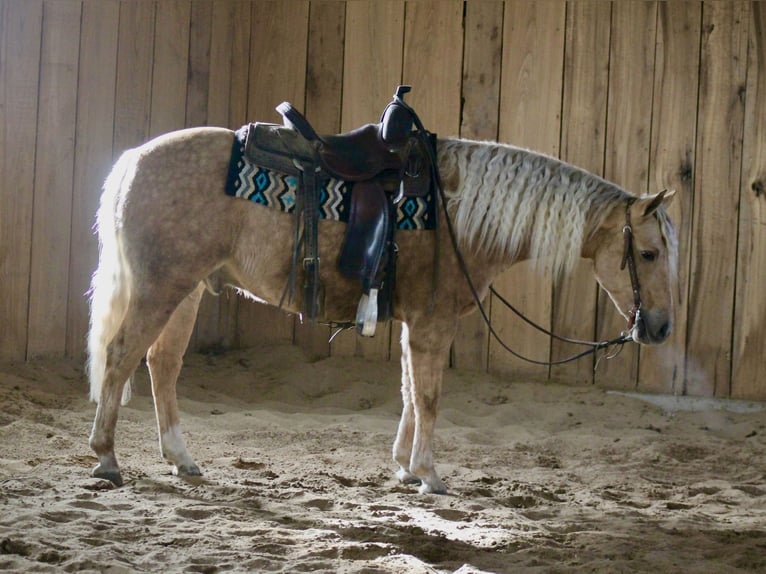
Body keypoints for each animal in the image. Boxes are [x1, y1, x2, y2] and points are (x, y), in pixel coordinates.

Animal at [88, 129, 680, 496]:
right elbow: (430, 395)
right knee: (120, 356)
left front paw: (403, 468)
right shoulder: (434, 323)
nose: (660, 327)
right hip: (161, 288)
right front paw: (429, 474)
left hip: (186, 291)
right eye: (650, 253)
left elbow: (409, 392)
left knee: (161, 364)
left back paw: (180, 457)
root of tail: (135, 158)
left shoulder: (415, 322)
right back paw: (106, 458)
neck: (457, 211)